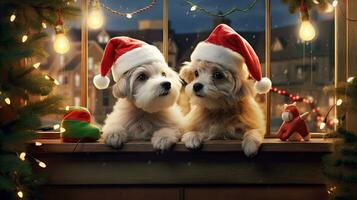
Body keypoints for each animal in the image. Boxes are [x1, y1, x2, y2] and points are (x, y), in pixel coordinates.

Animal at [178, 24, 270, 157]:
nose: (196, 86)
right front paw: (192, 137)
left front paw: (250, 144)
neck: (218, 109)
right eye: (196, 73)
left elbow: (253, 131)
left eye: (218, 75)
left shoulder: (253, 124)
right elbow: (191, 130)